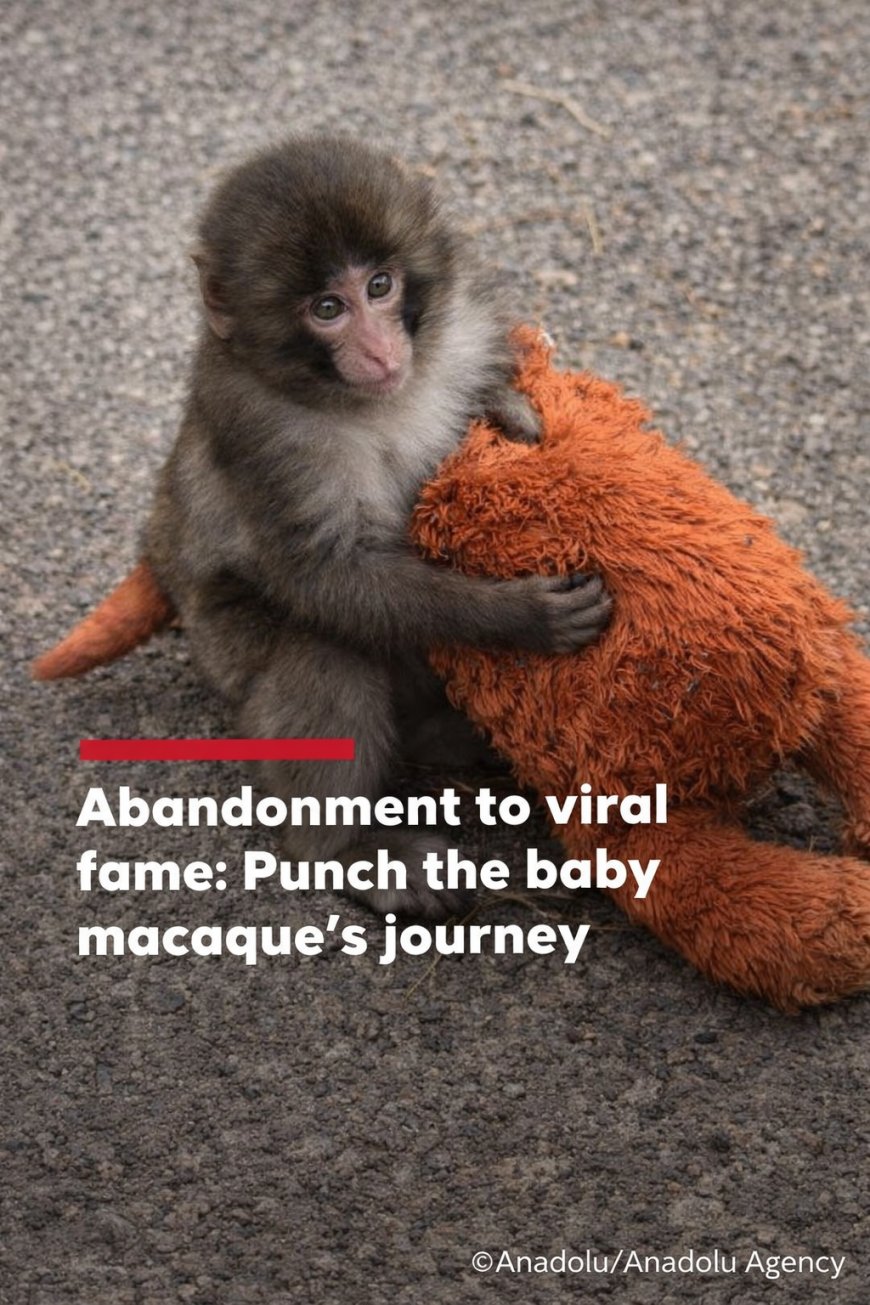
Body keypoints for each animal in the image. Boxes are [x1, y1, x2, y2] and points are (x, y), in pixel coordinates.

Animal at [144, 134, 612, 919]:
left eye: (382, 286)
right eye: (328, 308)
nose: (379, 350)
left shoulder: (460, 332)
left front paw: (510, 412)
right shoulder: (261, 429)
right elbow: (323, 576)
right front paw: (517, 616)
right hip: (230, 658)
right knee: (322, 651)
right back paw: (347, 851)